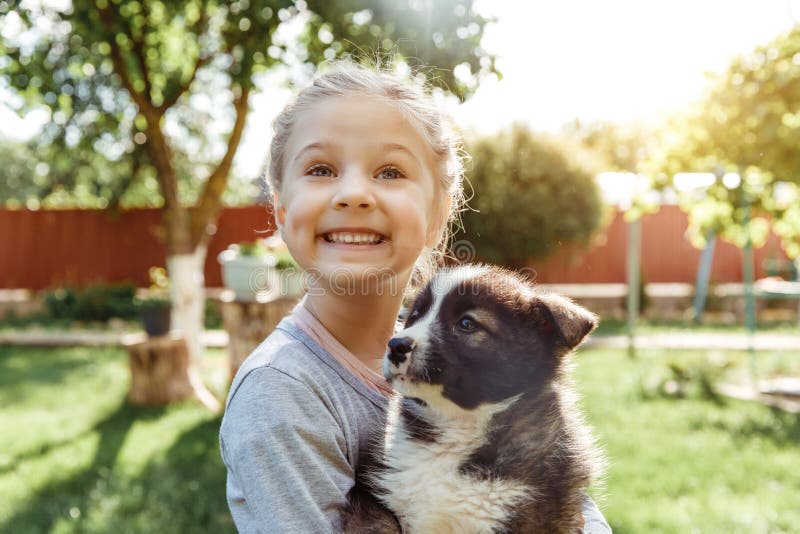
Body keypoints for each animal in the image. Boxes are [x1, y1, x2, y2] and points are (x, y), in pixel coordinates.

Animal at [342, 266, 600, 532]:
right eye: (414, 316)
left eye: (467, 323)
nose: (395, 345)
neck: (458, 423)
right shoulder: (374, 496)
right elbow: (380, 523)